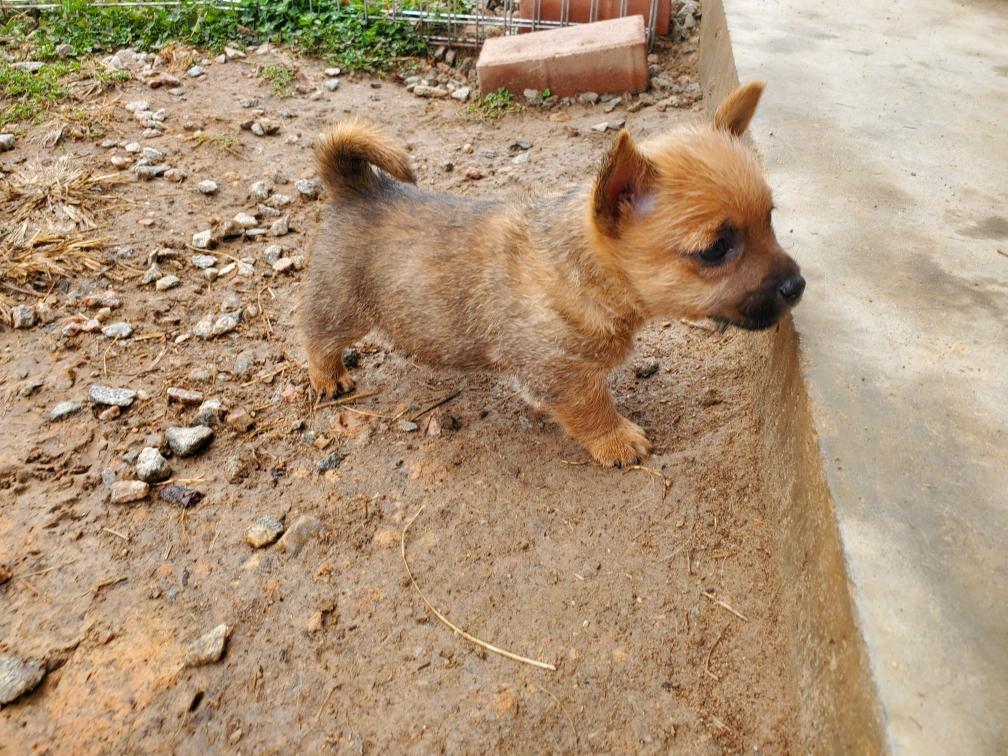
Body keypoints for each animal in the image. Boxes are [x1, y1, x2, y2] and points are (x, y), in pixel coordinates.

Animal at [299, 81, 804, 467]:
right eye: (716, 249)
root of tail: (359, 186)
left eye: (770, 220)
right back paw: (328, 378)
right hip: (341, 306)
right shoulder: (562, 375)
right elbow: (593, 409)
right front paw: (617, 440)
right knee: (316, 335)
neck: (582, 277)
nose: (797, 286)